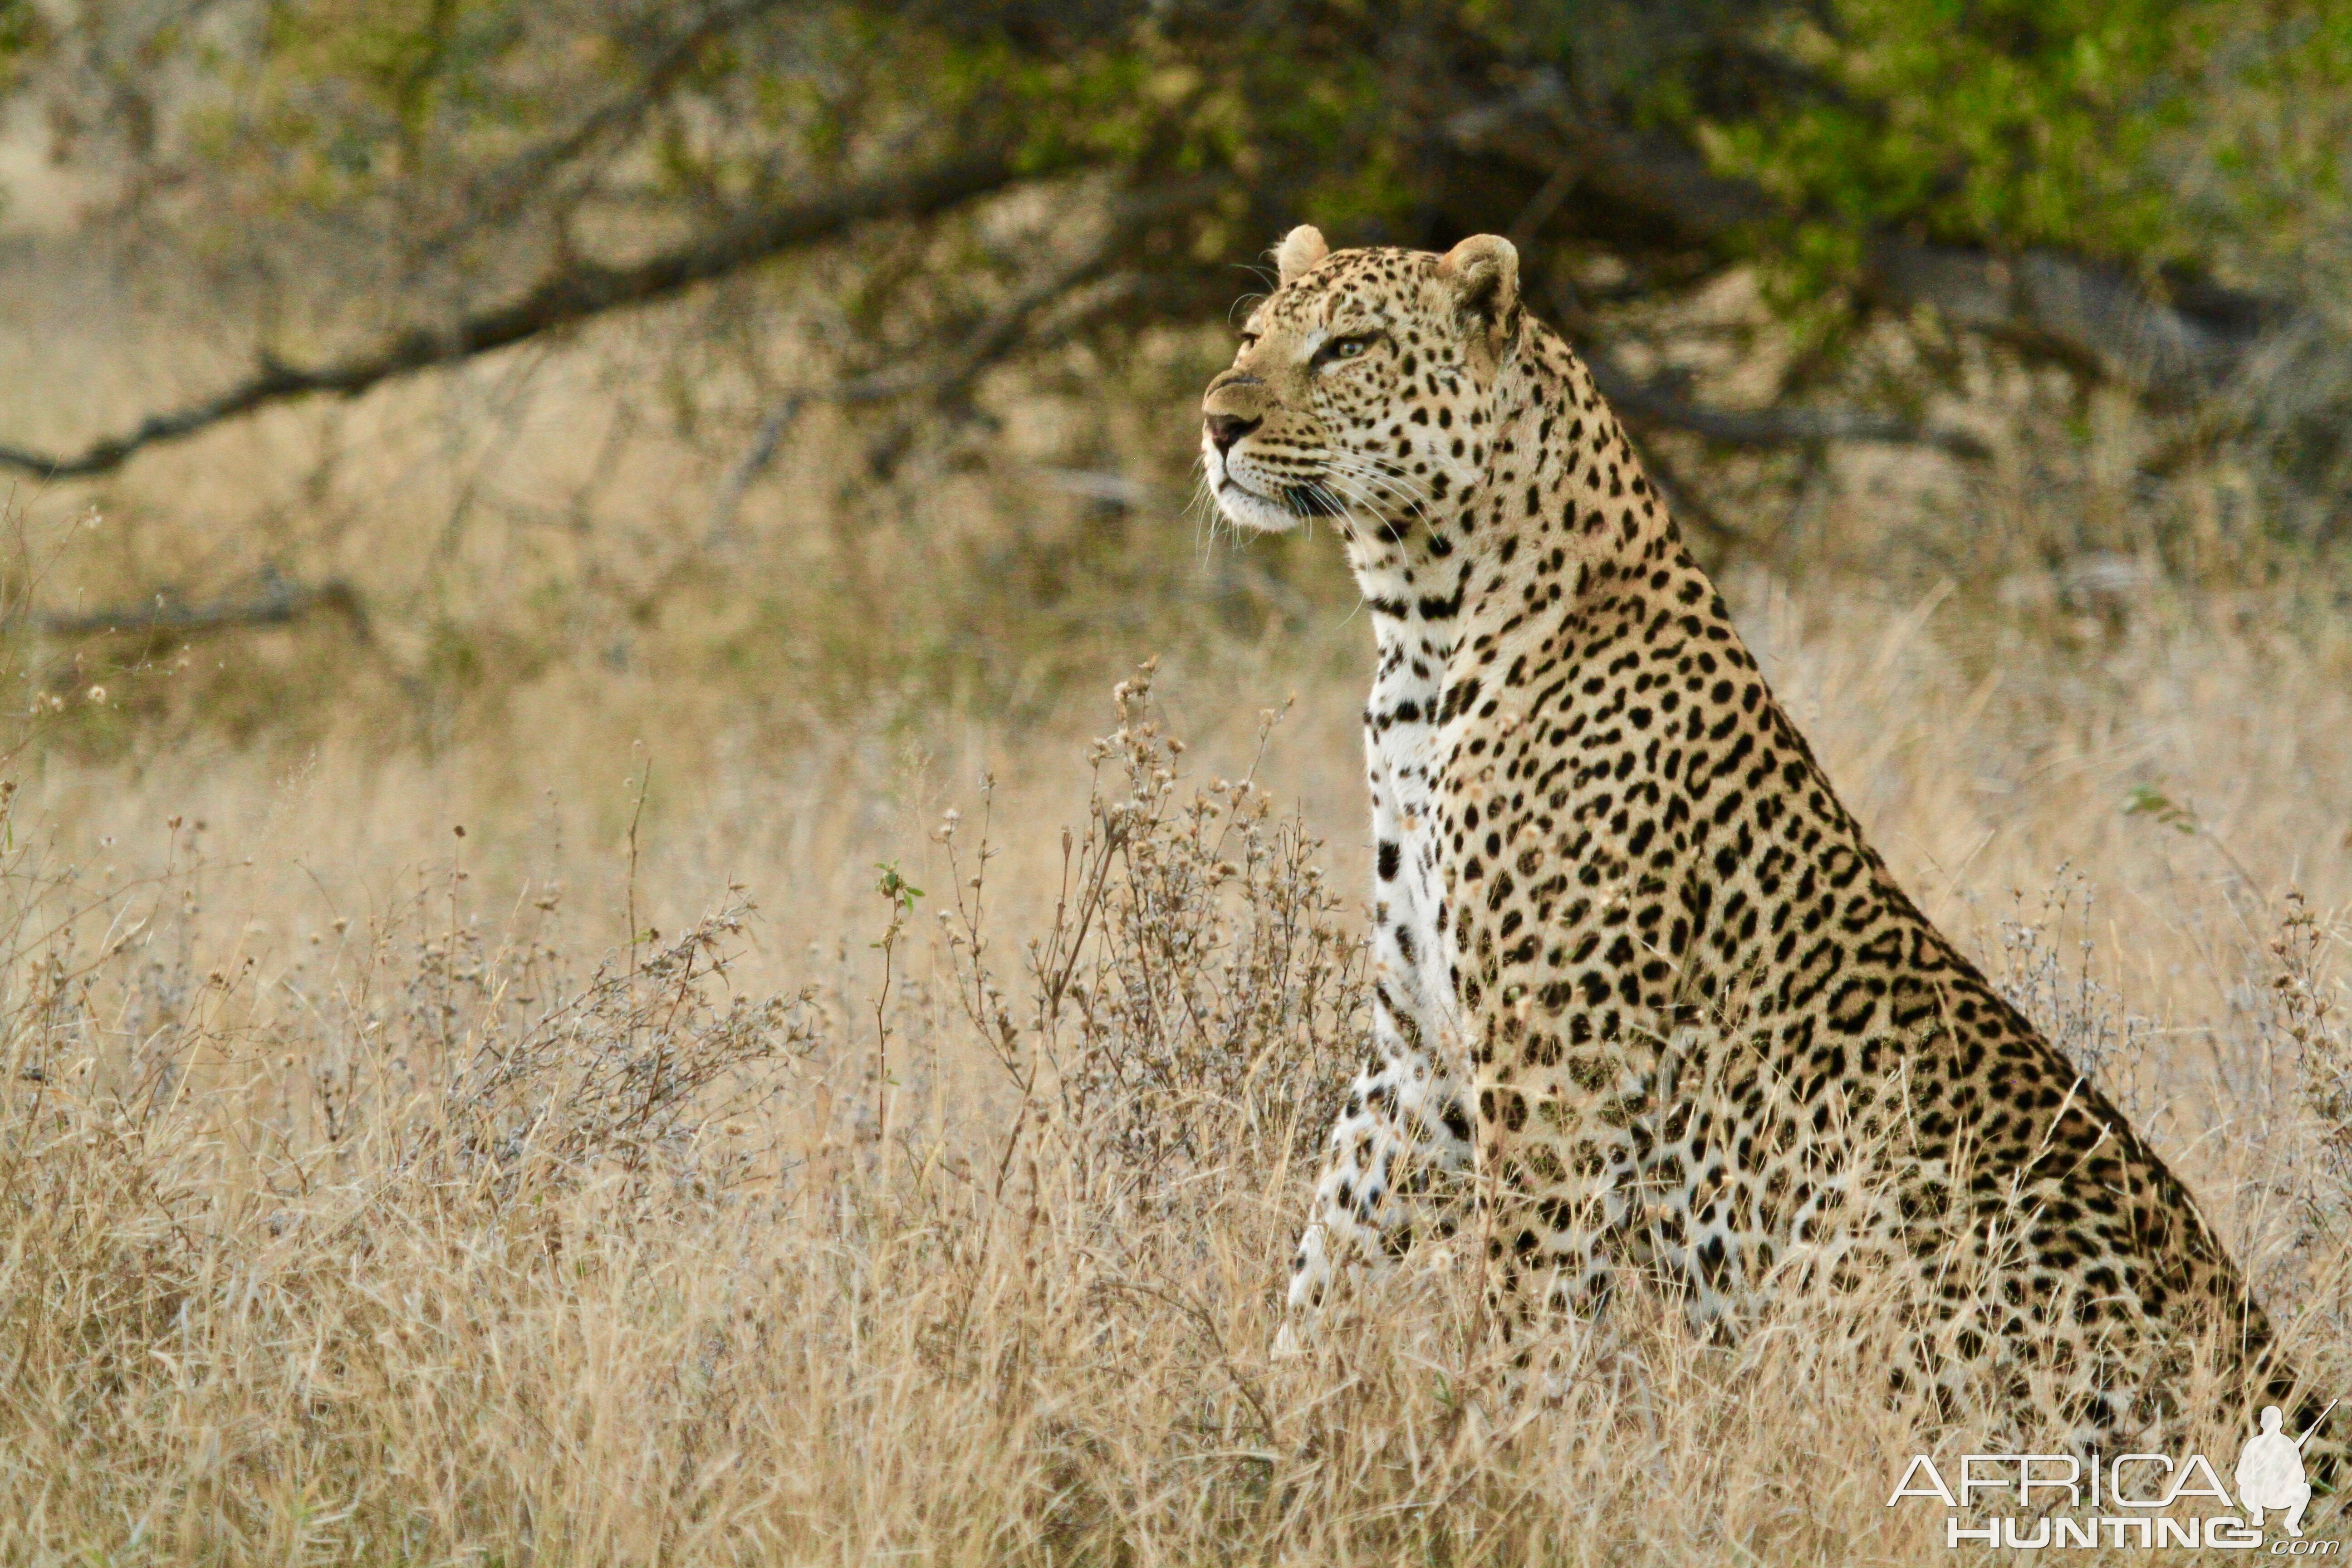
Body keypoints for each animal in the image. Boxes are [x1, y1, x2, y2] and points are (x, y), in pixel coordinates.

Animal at [1204, 221, 2323, 1448]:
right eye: (1251, 337)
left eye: (1347, 347)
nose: (1216, 421)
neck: (1418, 629)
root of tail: (2290, 1396)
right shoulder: (1418, 1052)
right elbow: (1330, 1244)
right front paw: (1269, 1413)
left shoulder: (1558, 1068)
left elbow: (1523, 1300)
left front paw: (1496, 1451)